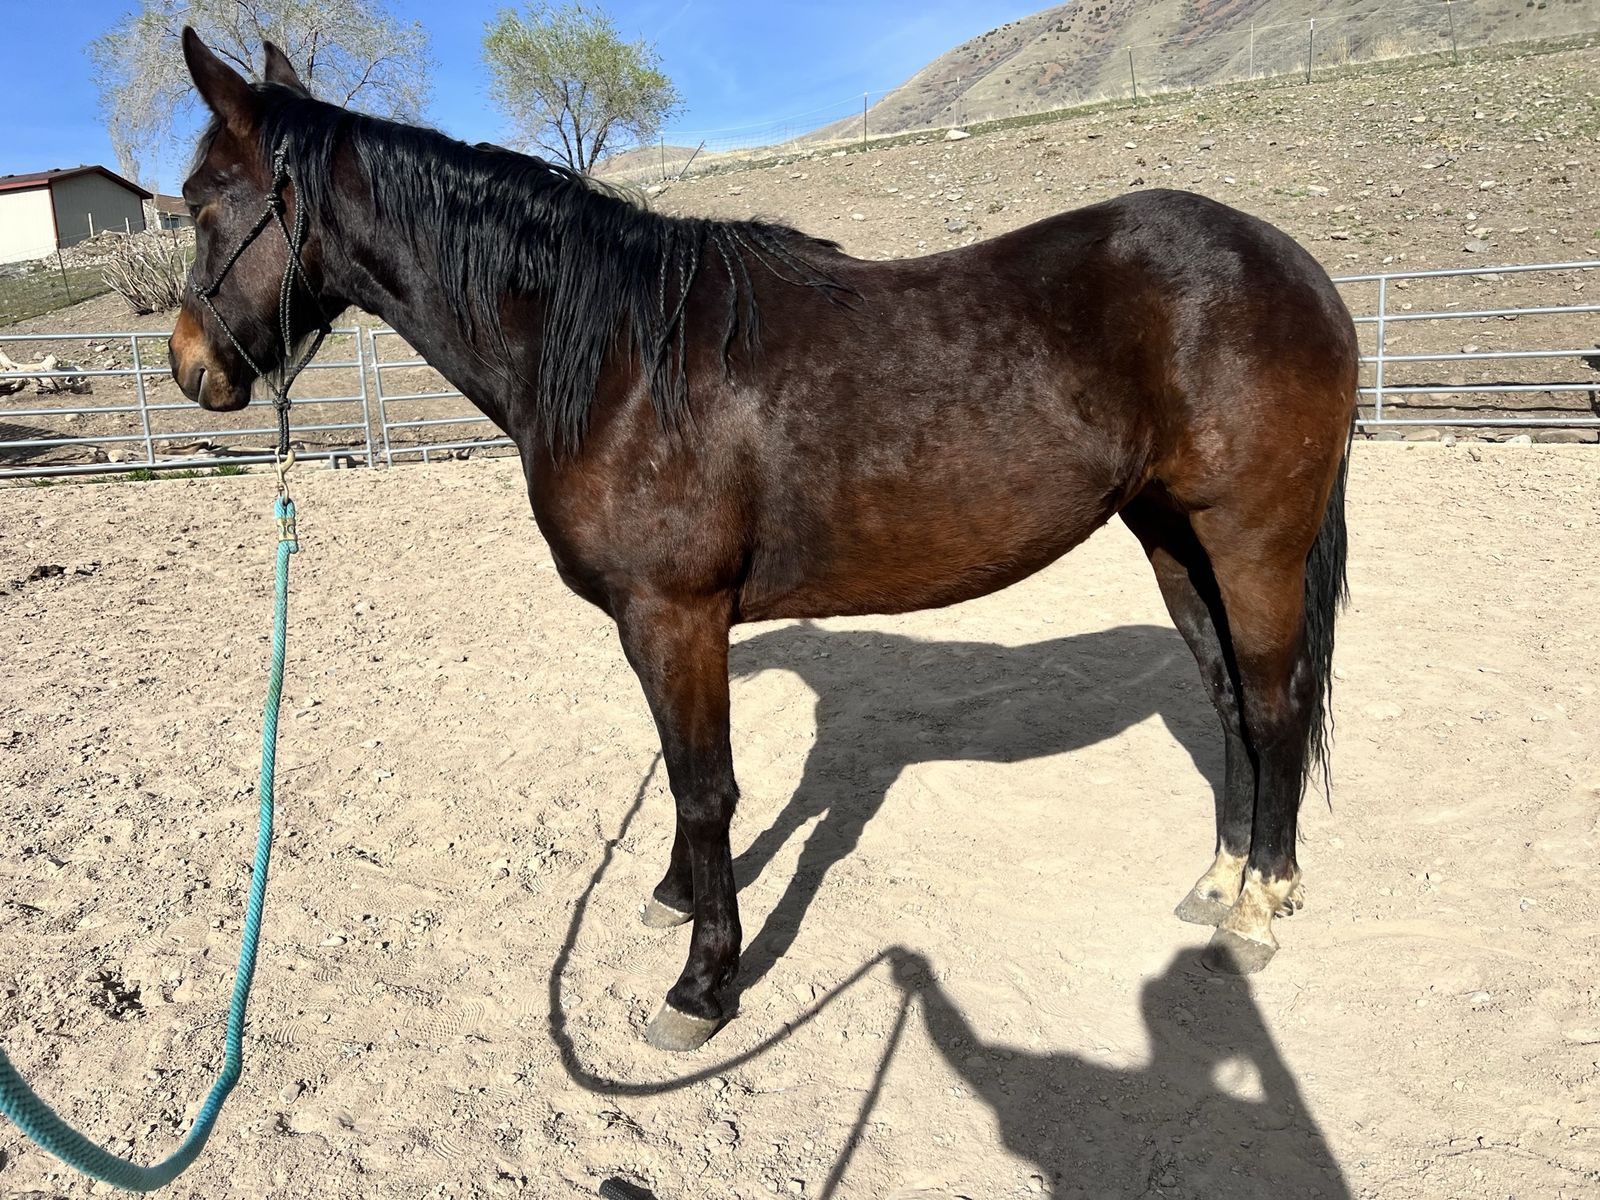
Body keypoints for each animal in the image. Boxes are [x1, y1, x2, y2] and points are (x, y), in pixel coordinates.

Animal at [169, 30, 1357, 1053]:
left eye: (197, 199)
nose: (192, 367)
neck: (616, 358)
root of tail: (1291, 266)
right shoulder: (665, 630)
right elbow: (683, 773)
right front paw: (673, 898)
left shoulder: (676, 616)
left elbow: (707, 789)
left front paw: (703, 984)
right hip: (1171, 536)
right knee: (1225, 703)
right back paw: (1218, 882)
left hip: (1250, 541)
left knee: (1274, 703)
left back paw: (1260, 908)